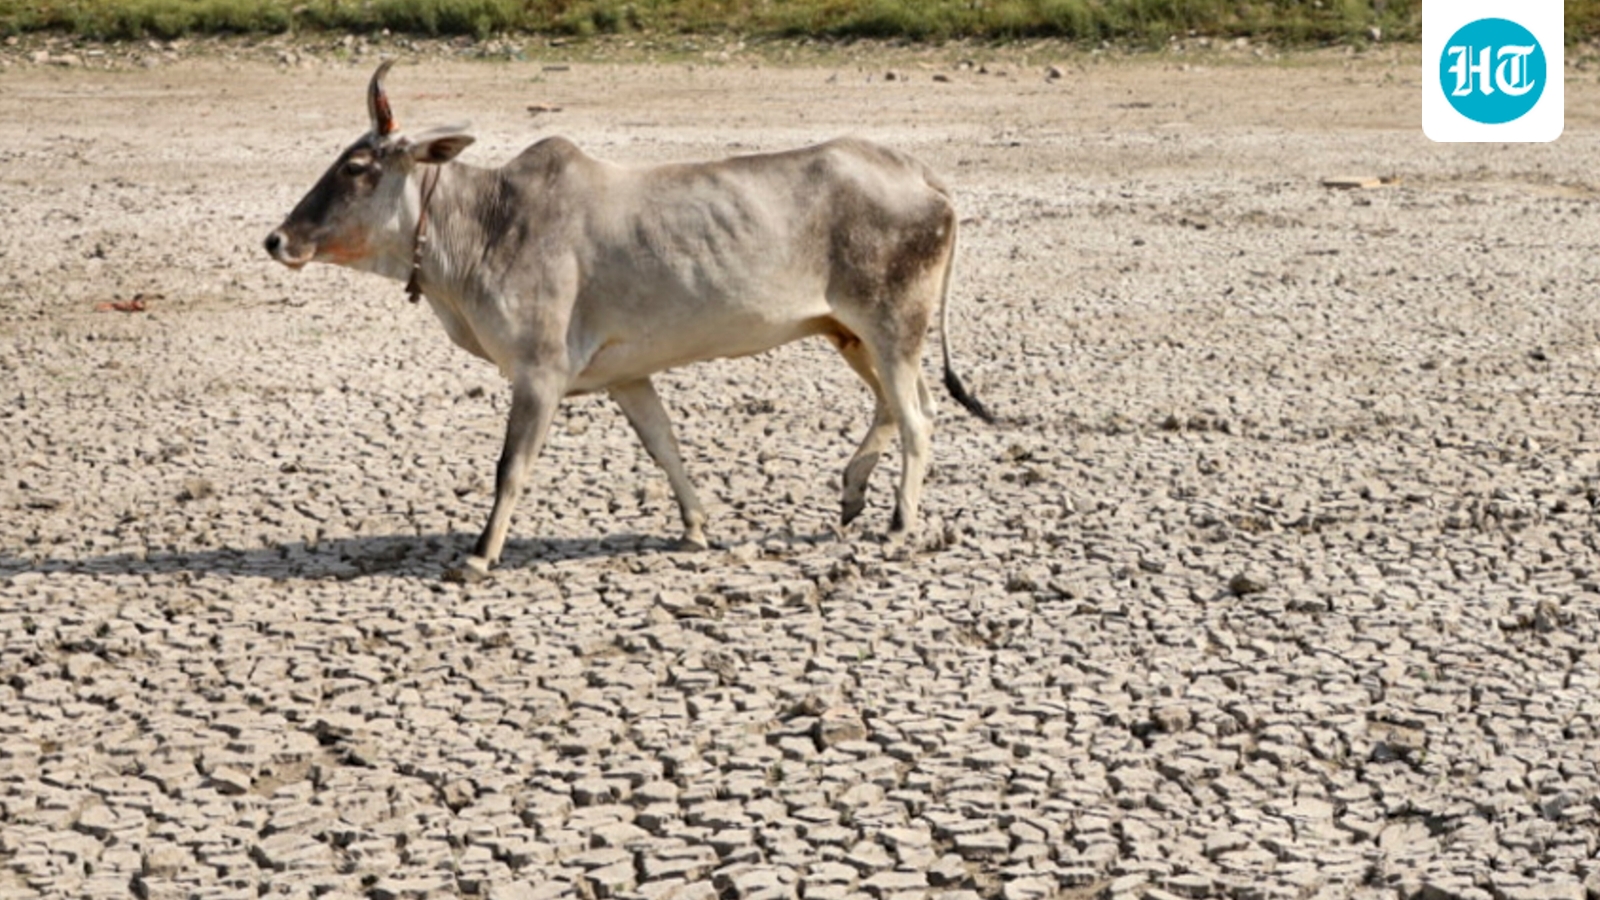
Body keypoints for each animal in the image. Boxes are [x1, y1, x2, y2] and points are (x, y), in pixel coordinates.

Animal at [264, 60, 992, 580]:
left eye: (357, 166)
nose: (278, 240)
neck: (489, 222)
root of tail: (920, 174)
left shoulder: (539, 372)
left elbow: (511, 466)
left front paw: (478, 555)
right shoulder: (627, 376)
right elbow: (665, 447)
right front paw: (696, 528)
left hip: (892, 324)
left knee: (918, 416)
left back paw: (898, 523)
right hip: (852, 332)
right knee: (900, 404)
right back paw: (852, 493)